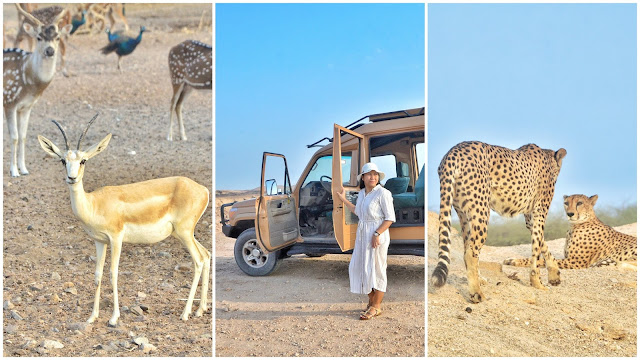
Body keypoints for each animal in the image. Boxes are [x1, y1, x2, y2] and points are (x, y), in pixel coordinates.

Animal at [3, 3, 71, 177]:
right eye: (39, 37)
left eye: (57, 37)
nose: (50, 50)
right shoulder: (9, 101)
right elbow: (14, 137)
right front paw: (14, 171)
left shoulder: (27, 107)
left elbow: (23, 136)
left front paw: (24, 169)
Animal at [37, 115, 211, 326]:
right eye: (63, 160)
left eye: (83, 160)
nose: (71, 178)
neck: (94, 203)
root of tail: (203, 189)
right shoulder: (99, 241)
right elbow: (97, 275)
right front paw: (92, 316)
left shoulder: (116, 238)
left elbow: (113, 273)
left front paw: (113, 318)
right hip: (182, 234)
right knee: (207, 255)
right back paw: (200, 310)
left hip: (185, 233)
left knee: (198, 261)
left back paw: (185, 313)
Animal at [504, 195, 636, 268]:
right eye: (566, 203)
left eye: (579, 203)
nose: (570, 214)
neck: (575, 226)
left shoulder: (576, 262)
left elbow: (541, 261)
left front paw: (514, 260)